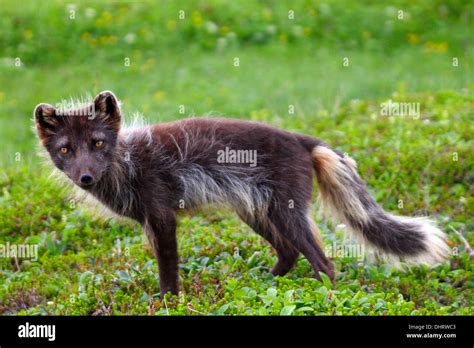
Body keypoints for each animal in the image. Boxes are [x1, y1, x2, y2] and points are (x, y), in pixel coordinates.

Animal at [33, 91, 448, 294]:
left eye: (98, 143)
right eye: (66, 150)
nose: (86, 178)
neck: (128, 163)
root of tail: (302, 139)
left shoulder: (162, 218)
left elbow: (168, 270)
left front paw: (168, 301)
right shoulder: (148, 223)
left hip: (285, 213)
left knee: (323, 262)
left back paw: (327, 298)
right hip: (255, 212)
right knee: (290, 253)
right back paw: (264, 283)